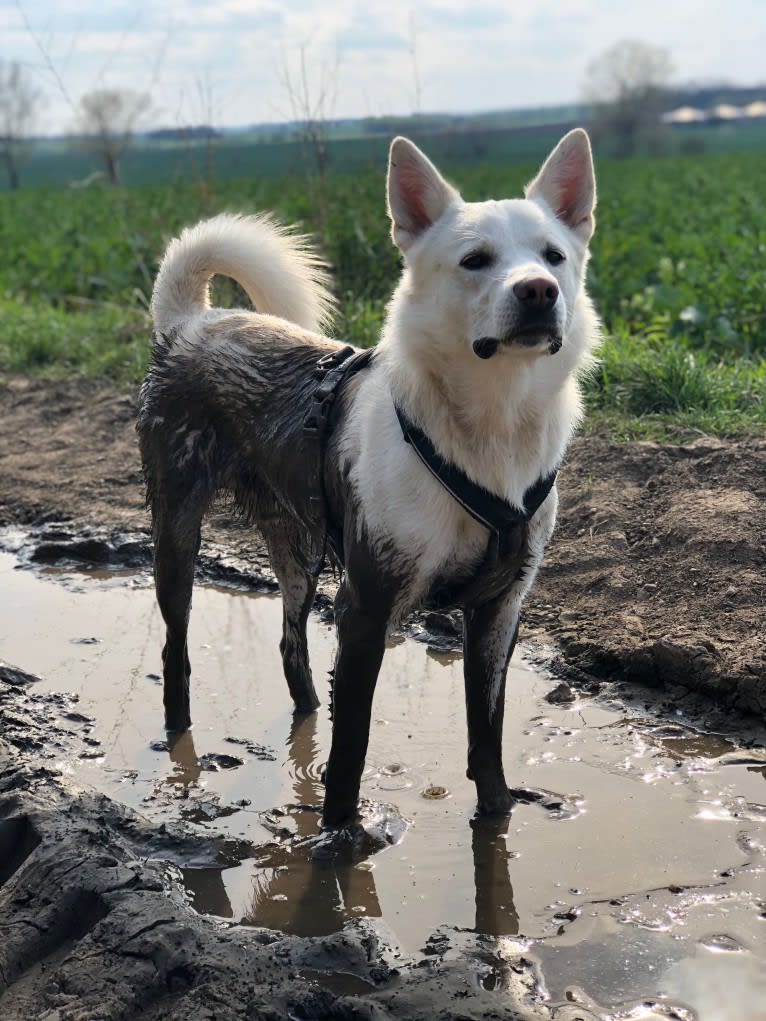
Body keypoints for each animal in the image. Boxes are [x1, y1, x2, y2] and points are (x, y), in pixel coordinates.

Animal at [140, 129, 604, 837]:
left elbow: (486, 735)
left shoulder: (500, 610)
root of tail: (192, 324)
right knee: (176, 649)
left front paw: (496, 818)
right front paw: (340, 839)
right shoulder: (365, 606)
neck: (491, 423)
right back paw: (179, 741)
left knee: (291, 643)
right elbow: (352, 745)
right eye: (475, 260)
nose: (538, 290)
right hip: (177, 531)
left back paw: (303, 716)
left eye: (554, 255)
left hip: (298, 546)